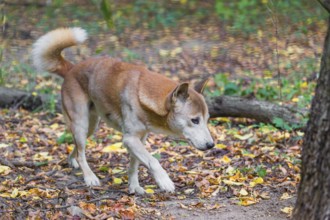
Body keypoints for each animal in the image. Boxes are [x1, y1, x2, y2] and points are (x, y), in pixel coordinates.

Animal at [32, 27, 214, 194]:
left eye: (206, 120)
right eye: (195, 120)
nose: (211, 145)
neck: (144, 95)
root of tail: (71, 68)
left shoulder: (139, 139)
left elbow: (135, 165)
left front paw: (134, 187)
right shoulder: (130, 139)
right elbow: (153, 161)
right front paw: (164, 181)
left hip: (90, 127)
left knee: (76, 149)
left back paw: (73, 162)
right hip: (81, 124)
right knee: (81, 153)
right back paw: (90, 177)